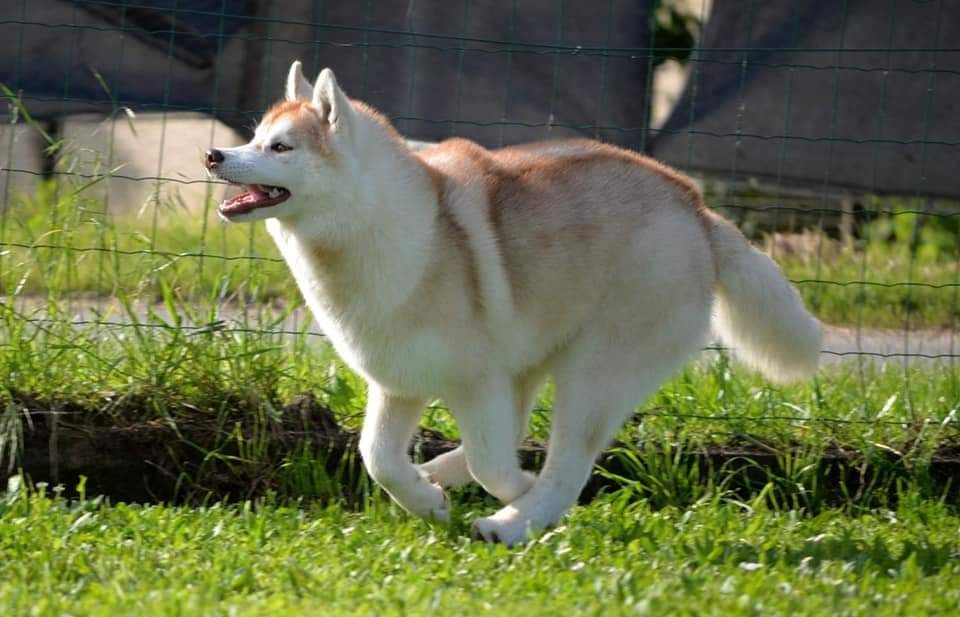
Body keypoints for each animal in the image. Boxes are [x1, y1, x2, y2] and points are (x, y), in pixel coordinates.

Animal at [205, 61, 822, 545]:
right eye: (253, 137)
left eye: (280, 147)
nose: (213, 154)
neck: (375, 227)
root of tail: (697, 210)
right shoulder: (399, 384)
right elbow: (378, 459)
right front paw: (427, 499)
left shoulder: (477, 384)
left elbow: (493, 463)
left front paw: (511, 497)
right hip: (530, 362)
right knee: (515, 432)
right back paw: (446, 475)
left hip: (591, 375)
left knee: (564, 467)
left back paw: (515, 520)